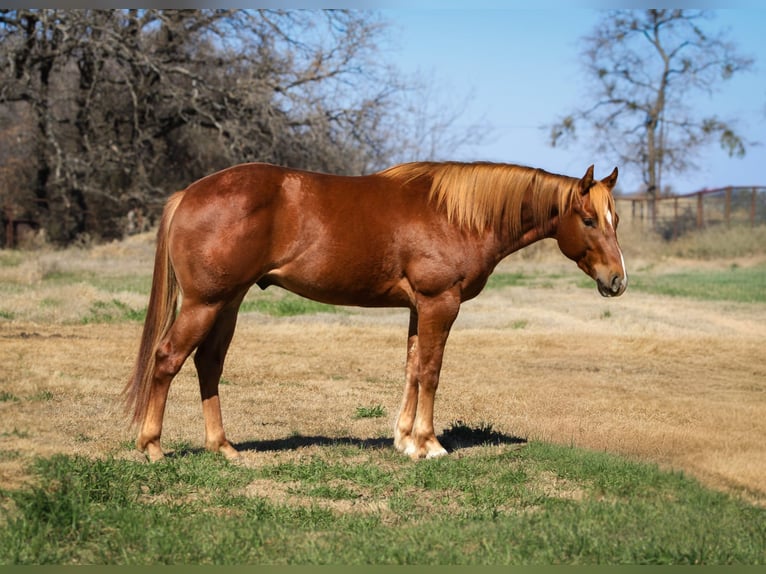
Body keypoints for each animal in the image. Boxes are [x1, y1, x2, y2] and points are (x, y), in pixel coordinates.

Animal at [123, 161, 627, 462]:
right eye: (588, 219)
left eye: (615, 220)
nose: (617, 280)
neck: (457, 214)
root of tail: (188, 194)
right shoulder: (439, 303)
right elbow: (431, 371)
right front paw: (429, 444)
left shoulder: (418, 308)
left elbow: (411, 369)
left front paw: (405, 440)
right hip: (205, 303)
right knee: (168, 359)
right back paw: (152, 447)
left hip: (228, 302)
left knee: (208, 363)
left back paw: (223, 447)